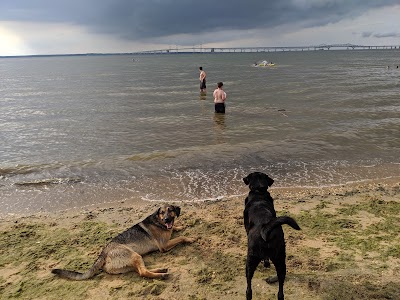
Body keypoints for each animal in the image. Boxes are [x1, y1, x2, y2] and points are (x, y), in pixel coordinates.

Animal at [244, 171, 300, 300]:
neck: (259, 193)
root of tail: (266, 228)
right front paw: (266, 263)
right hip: (280, 258)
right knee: (281, 288)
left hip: (251, 259)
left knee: (249, 285)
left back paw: (248, 295)